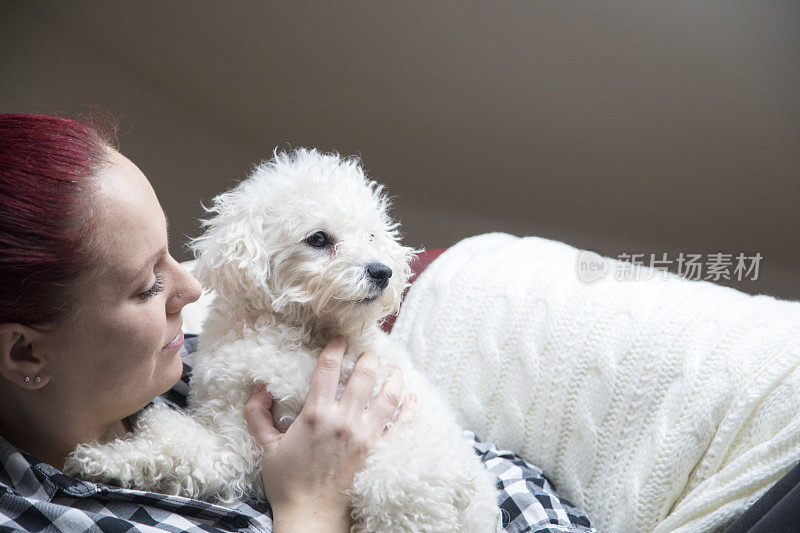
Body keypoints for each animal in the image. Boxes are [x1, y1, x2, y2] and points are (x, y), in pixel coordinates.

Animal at [67, 148, 500, 528]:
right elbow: (179, 450)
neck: (289, 332)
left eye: (372, 236)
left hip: (403, 475)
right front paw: (102, 459)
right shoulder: (236, 438)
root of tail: (481, 511)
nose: (382, 272)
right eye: (319, 239)